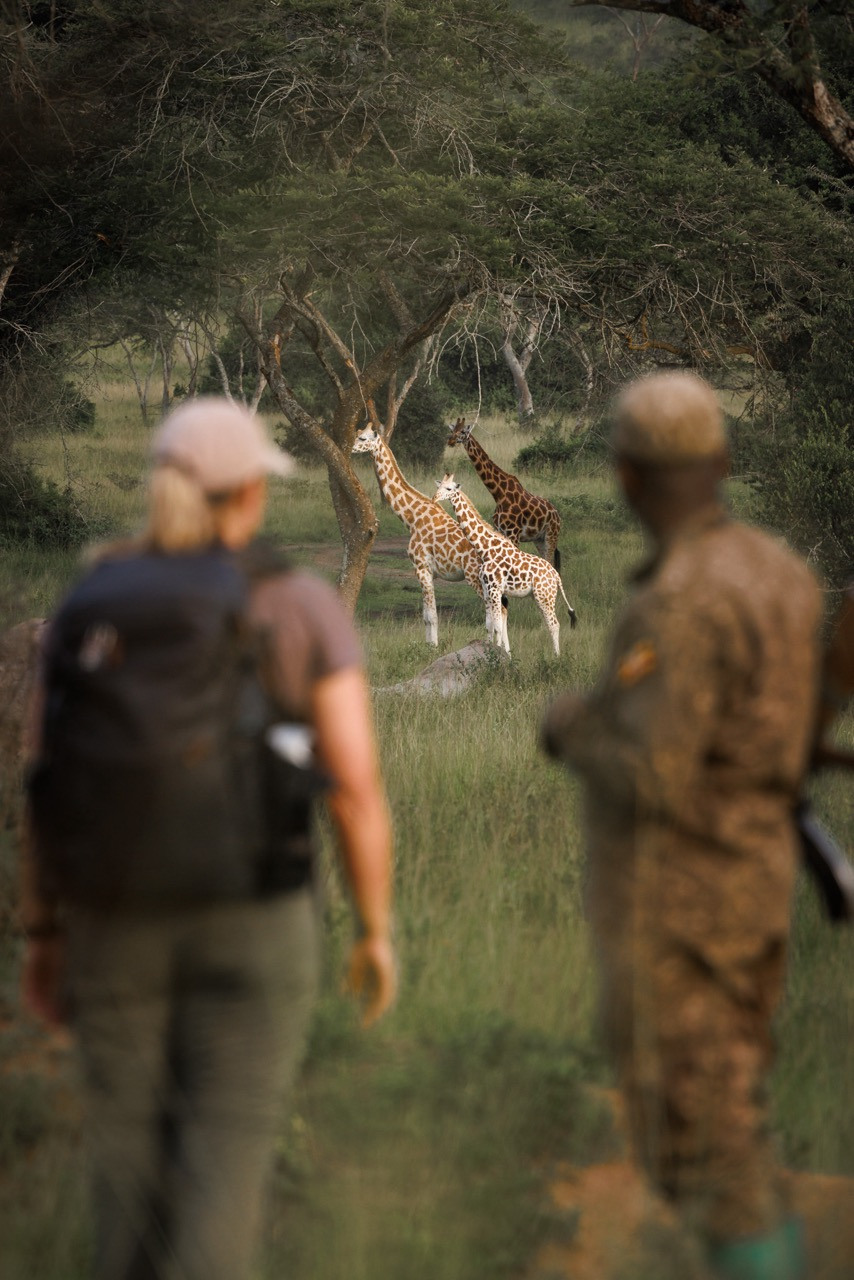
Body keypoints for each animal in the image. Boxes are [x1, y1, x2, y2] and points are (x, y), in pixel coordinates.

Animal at [352, 427, 507, 649]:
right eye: (356, 434)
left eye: (363, 438)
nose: (350, 447)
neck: (411, 518)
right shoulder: (428, 572)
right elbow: (426, 615)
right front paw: (427, 644)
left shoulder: (421, 567)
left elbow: (431, 616)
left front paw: (433, 647)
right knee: (500, 611)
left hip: (477, 578)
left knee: (497, 611)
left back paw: (495, 648)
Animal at [433, 473, 577, 657]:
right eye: (438, 486)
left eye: (449, 488)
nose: (434, 498)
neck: (485, 549)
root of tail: (556, 577)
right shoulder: (487, 589)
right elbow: (490, 624)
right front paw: (493, 651)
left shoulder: (495, 589)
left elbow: (497, 626)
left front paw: (499, 653)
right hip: (539, 596)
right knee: (550, 622)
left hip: (545, 595)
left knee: (554, 623)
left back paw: (556, 657)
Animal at [446, 417, 562, 568]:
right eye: (452, 430)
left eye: (463, 432)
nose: (450, 441)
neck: (498, 494)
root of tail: (557, 514)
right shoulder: (501, 531)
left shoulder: (513, 533)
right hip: (539, 539)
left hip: (551, 534)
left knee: (551, 561)